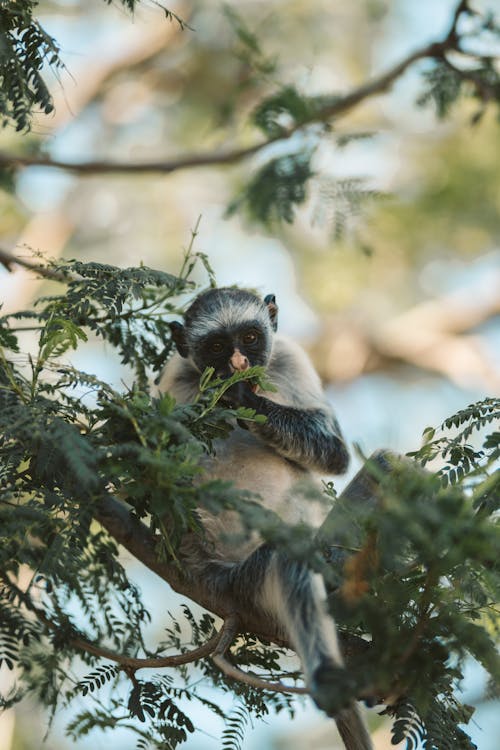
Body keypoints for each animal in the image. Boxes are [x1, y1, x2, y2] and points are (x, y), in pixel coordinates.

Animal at [158, 288, 374, 750]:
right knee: (289, 557)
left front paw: (247, 400)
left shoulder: (287, 357)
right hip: (240, 581)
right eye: (216, 347)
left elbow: (334, 451)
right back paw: (329, 676)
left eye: (251, 338)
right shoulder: (173, 380)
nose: (240, 364)